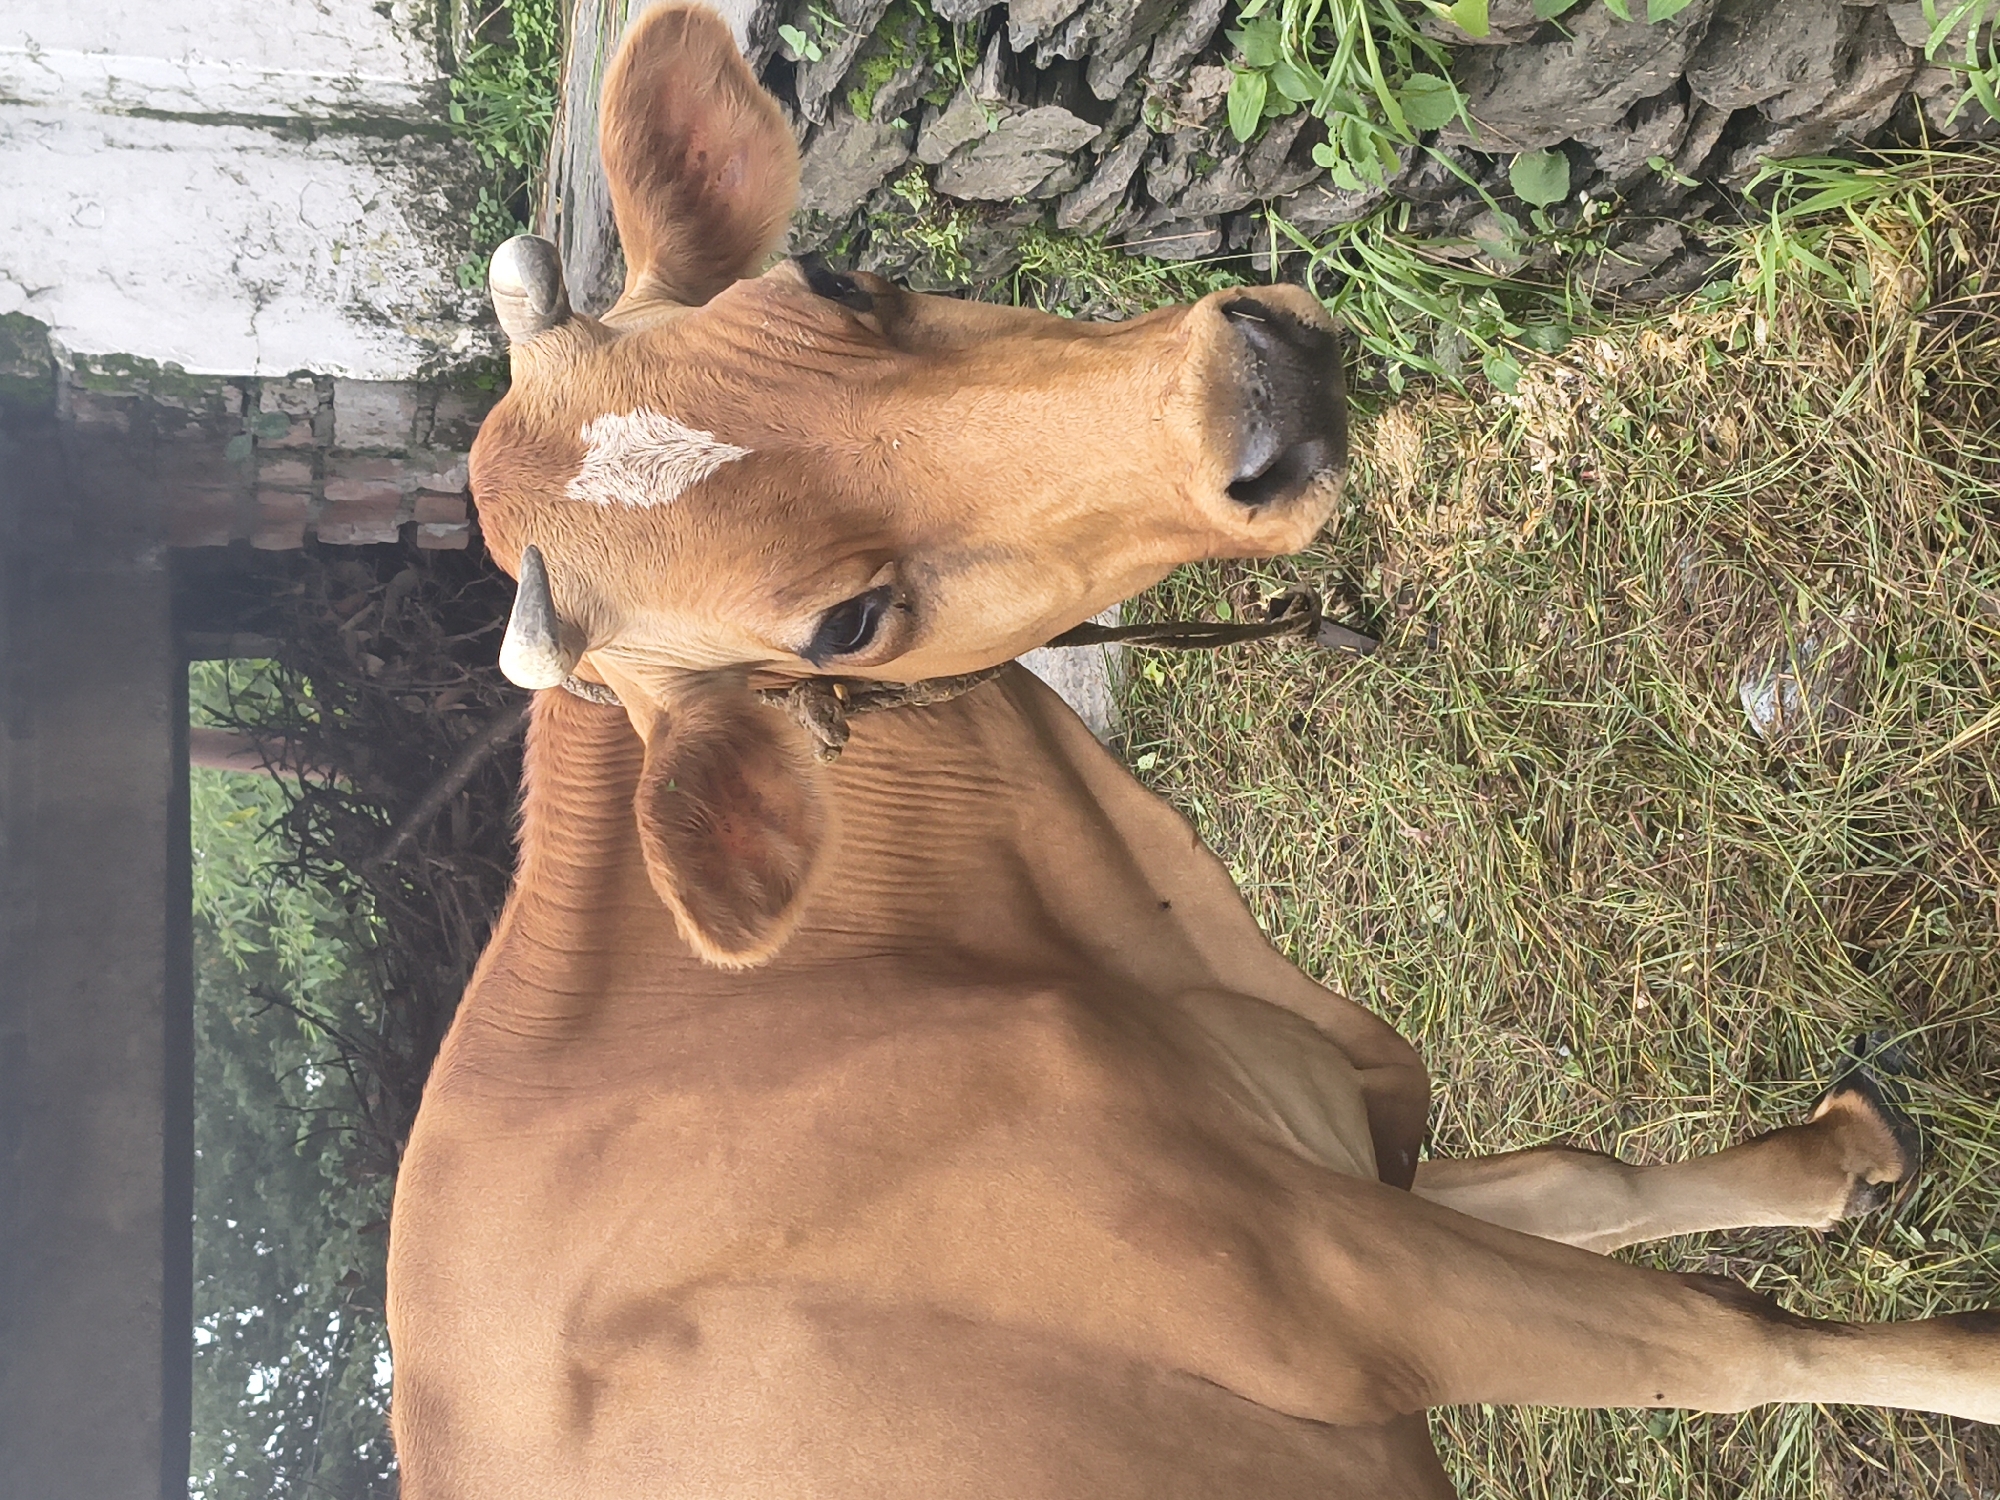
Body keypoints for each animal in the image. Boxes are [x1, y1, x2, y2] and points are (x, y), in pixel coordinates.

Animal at [384, 8, 2000, 1495]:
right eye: (844, 624)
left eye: (832, 279)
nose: (1262, 395)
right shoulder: (1342, 1291)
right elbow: (1728, 1341)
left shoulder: (1340, 1144)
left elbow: (1581, 1173)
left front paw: (1840, 1159)